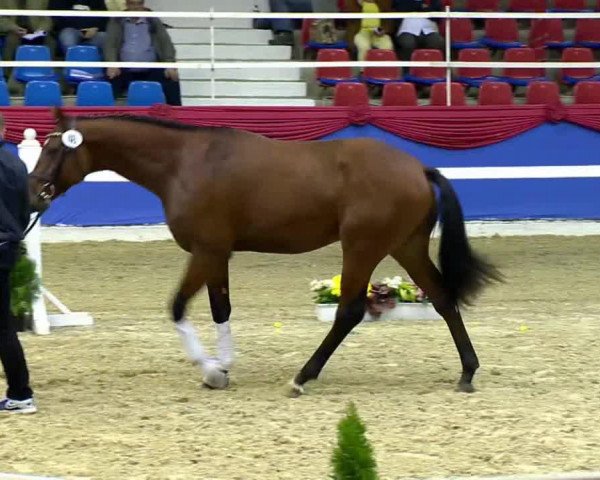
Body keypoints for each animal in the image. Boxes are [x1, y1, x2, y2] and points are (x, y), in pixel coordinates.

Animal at [30, 109, 504, 398]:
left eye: (53, 149)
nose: (34, 194)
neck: (184, 163)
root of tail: (417, 167)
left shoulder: (205, 250)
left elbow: (178, 307)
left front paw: (210, 369)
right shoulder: (218, 254)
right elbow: (220, 308)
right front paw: (222, 369)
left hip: (362, 247)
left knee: (350, 311)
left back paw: (302, 377)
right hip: (405, 246)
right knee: (442, 299)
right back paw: (467, 372)